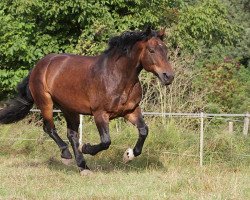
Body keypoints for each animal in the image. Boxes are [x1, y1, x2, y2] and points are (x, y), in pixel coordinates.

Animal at [0, 27, 174, 175]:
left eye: (165, 50)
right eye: (151, 50)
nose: (169, 76)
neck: (117, 76)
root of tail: (39, 65)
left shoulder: (131, 110)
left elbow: (144, 131)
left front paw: (128, 155)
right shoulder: (100, 113)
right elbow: (106, 141)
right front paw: (87, 148)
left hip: (69, 108)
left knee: (72, 134)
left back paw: (83, 166)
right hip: (46, 102)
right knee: (49, 128)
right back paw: (66, 155)